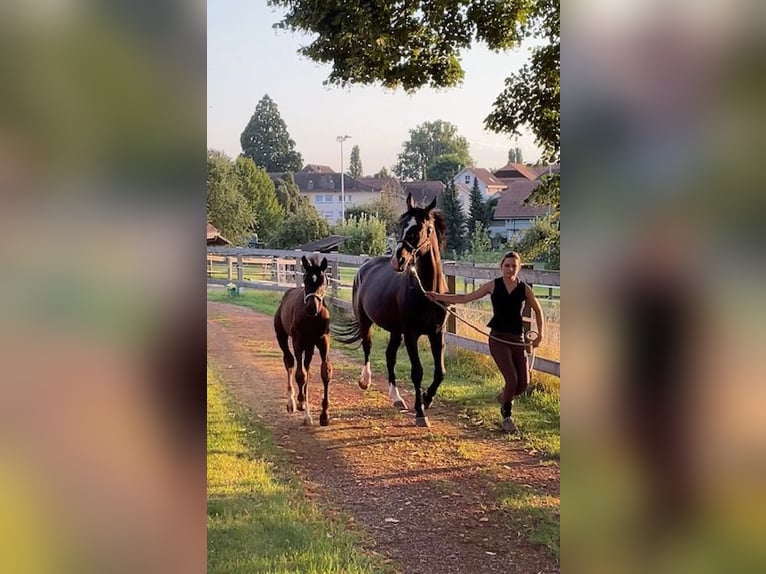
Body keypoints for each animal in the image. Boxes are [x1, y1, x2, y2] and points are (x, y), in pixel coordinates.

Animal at [278, 256, 334, 428]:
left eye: (323, 280)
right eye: (306, 279)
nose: (312, 308)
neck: (312, 319)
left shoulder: (323, 341)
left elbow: (325, 372)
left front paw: (324, 415)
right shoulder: (298, 341)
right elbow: (300, 374)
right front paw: (301, 403)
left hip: (309, 346)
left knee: (307, 367)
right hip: (283, 337)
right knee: (289, 362)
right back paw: (292, 402)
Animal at [332, 196, 448, 426]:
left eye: (419, 228)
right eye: (401, 226)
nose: (398, 260)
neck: (428, 291)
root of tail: (365, 266)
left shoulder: (437, 333)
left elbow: (440, 372)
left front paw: (427, 399)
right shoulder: (411, 334)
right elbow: (417, 372)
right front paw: (420, 413)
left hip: (395, 330)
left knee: (389, 355)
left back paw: (396, 398)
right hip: (366, 321)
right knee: (367, 347)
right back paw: (365, 381)